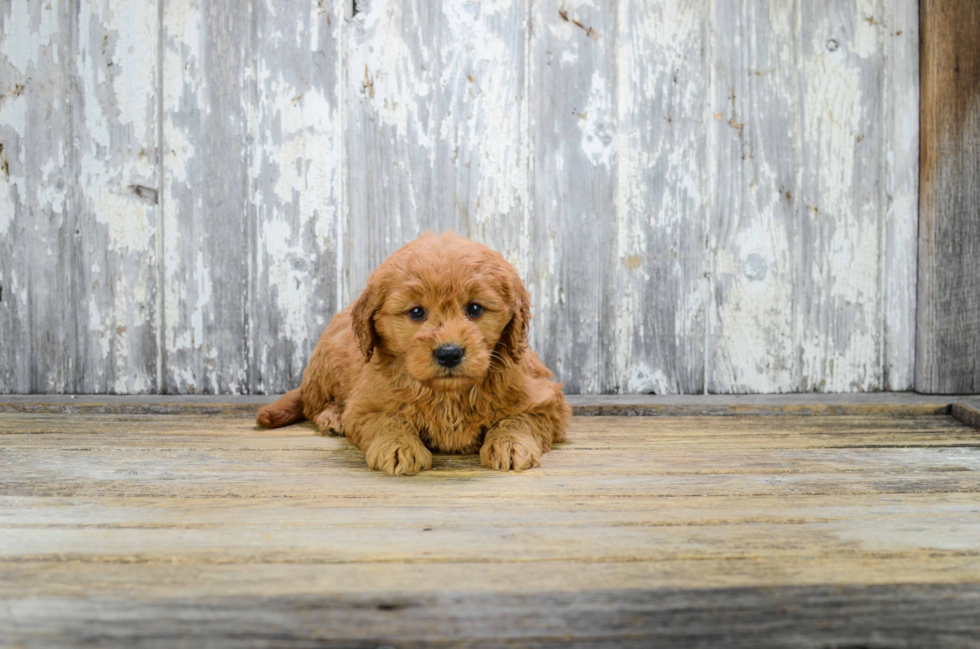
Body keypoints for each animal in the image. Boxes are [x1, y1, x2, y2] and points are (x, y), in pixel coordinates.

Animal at [256, 230, 572, 474]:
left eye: (474, 308)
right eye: (416, 312)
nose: (449, 353)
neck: (448, 395)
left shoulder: (547, 401)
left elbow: (519, 418)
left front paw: (511, 444)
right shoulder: (365, 405)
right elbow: (387, 420)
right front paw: (398, 447)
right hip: (326, 363)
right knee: (313, 404)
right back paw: (332, 417)